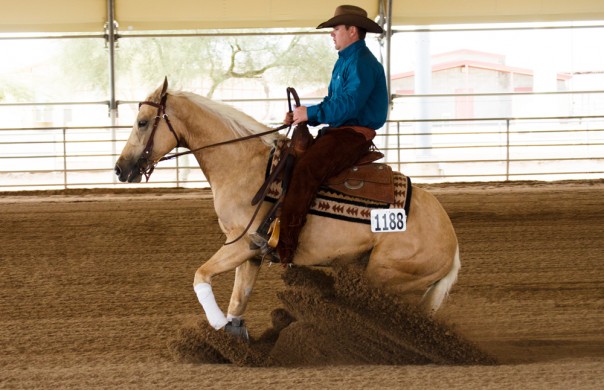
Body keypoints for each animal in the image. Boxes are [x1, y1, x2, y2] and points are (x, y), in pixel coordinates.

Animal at [115, 79, 460, 336]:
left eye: (142, 122)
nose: (120, 169)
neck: (243, 164)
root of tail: (452, 242)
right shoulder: (251, 254)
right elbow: (238, 302)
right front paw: (233, 337)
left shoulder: (240, 243)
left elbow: (200, 276)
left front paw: (216, 323)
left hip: (385, 278)